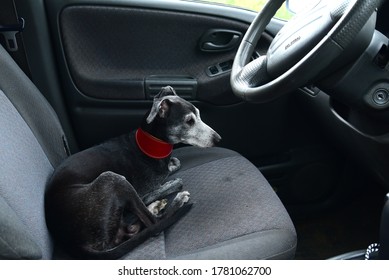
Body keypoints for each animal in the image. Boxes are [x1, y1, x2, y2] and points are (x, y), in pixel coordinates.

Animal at [44, 86, 220, 258]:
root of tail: (72, 243)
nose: (218, 139)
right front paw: (169, 185)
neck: (148, 146)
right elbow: (171, 184)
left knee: (133, 229)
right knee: (154, 223)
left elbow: (174, 164)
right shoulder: (143, 189)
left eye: (199, 114)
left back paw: (155, 206)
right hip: (112, 179)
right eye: (189, 121)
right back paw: (176, 201)